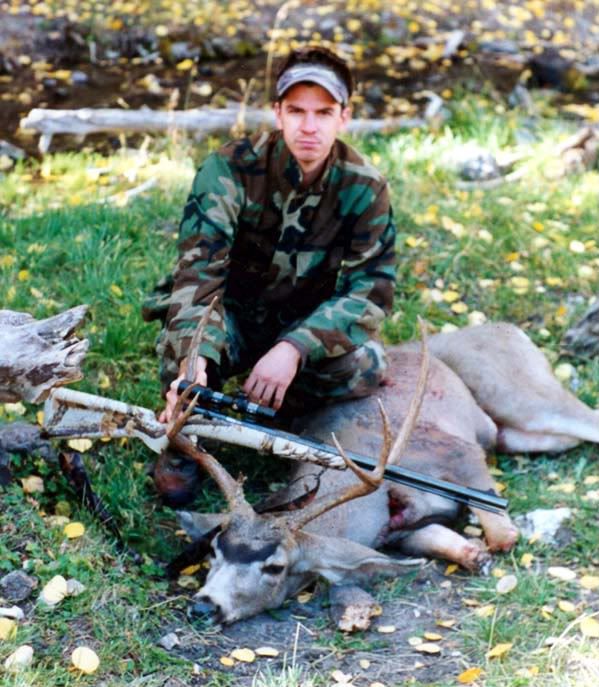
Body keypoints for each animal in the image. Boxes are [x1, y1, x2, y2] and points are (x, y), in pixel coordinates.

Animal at [171, 320, 599, 625]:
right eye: (215, 550)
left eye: (275, 567)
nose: (205, 606)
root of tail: (508, 327)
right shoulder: (404, 530)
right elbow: (460, 546)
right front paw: (470, 556)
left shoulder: (460, 453)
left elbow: (503, 536)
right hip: (519, 433)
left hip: (519, 395)